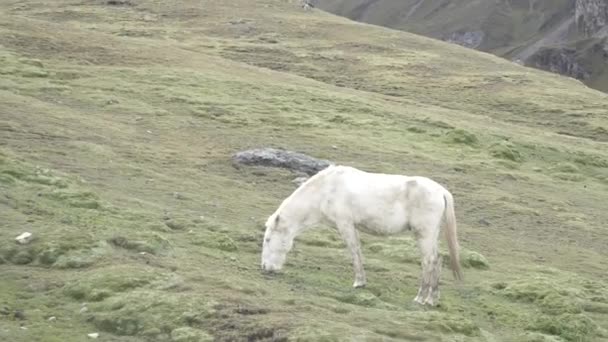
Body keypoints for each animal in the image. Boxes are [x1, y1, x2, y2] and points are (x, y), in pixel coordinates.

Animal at [258, 164, 464, 306]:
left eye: (268, 240)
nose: (265, 268)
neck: (326, 189)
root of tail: (441, 191)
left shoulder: (345, 224)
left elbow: (354, 251)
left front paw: (359, 282)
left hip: (424, 234)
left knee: (429, 262)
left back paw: (420, 298)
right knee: (437, 260)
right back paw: (432, 299)